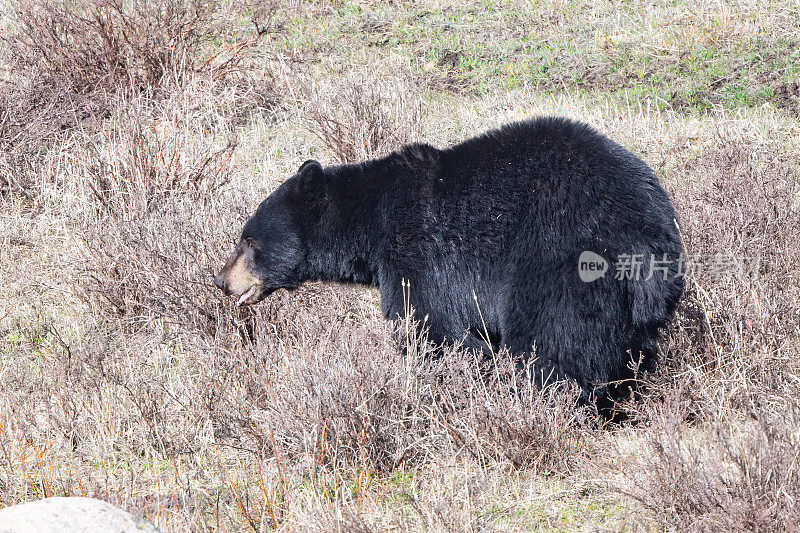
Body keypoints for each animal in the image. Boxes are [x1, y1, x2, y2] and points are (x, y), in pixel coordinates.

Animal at [216, 116, 684, 408]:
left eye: (248, 240)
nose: (221, 280)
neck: (373, 220)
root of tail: (646, 229)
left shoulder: (419, 252)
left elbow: (430, 326)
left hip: (561, 262)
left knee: (556, 343)